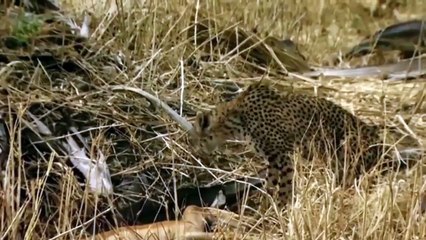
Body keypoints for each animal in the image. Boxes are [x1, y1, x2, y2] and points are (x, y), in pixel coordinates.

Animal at [193, 80, 420, 208]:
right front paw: (266, 203)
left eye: (196, 137)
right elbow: (271, 183)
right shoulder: (274, 159)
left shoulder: (283, 155)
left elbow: (284, 185)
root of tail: (384, 148)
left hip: (346, 145)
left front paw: (279, 207)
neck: (234, 119)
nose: (197, 150)